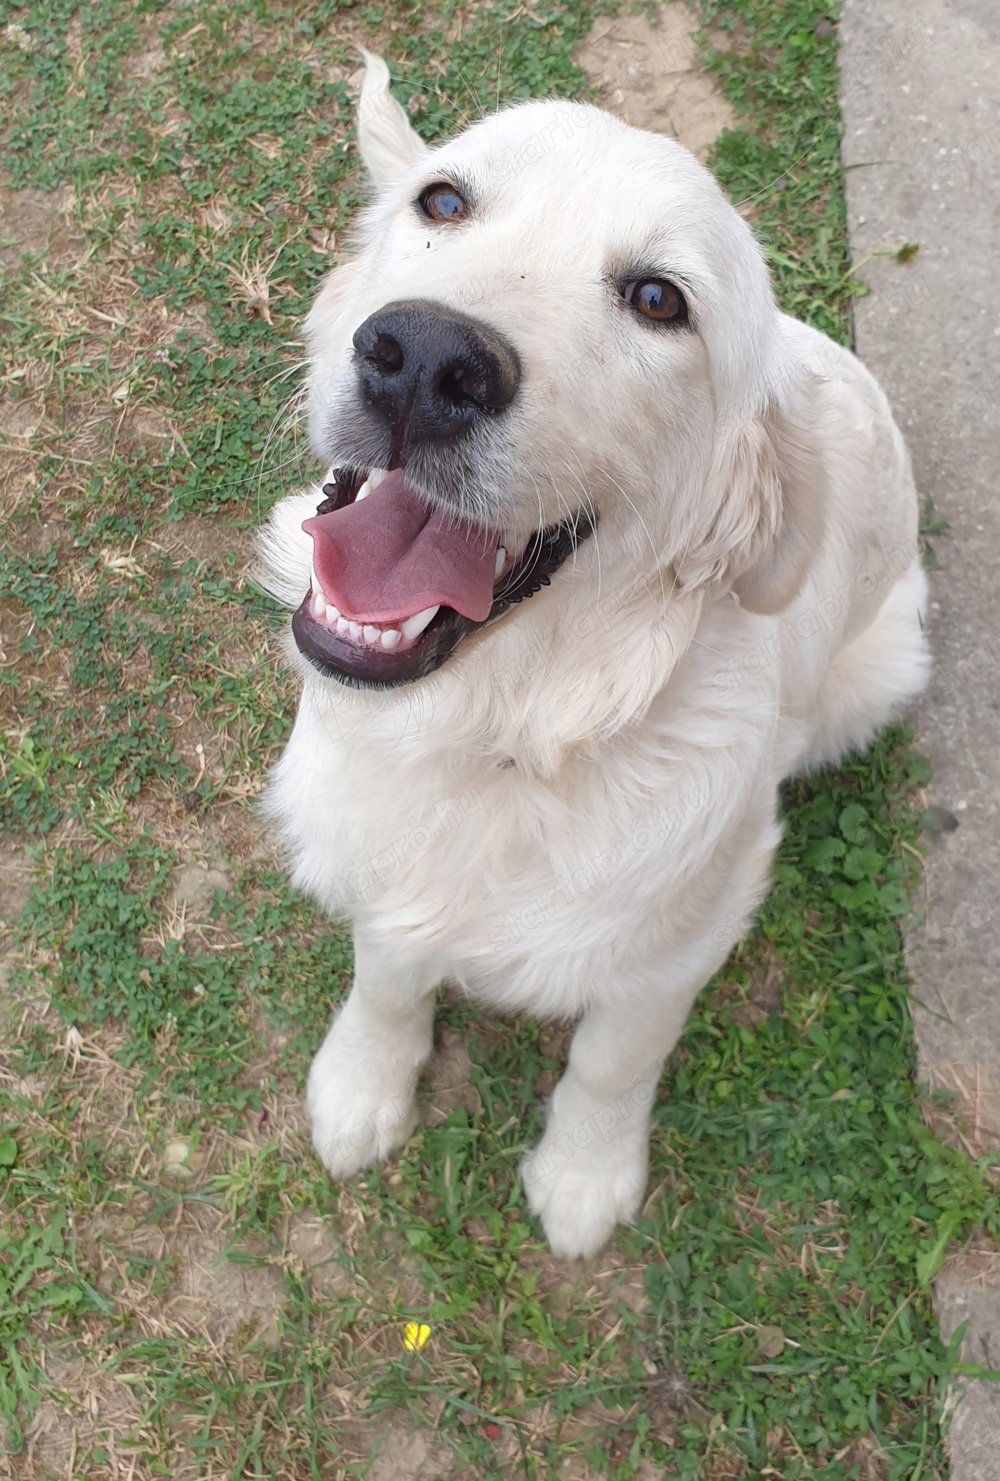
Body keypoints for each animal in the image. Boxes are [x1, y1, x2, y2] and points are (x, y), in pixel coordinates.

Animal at [257, 52, 930, 1255]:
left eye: (659, 300)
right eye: (442, 200)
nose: (425, 359)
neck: (503, 733)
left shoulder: (679, 940)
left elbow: (614, 1061)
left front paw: (584, 1174)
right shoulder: (388, 872)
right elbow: (387, 977)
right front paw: (363, 1083)